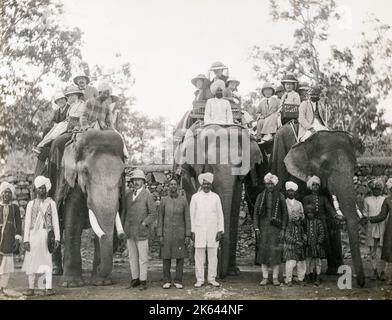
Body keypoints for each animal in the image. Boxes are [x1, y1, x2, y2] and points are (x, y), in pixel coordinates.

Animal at [47, 129, 125, 286]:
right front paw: (72, 284)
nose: (121, 237)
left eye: (122, 173)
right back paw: (56, 271)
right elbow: (73, 221)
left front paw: (101, 283)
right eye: (85, 172)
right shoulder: (71, 183)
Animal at [175, 122, 264, 278]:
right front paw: (207, 268)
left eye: (240, 163)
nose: (220, 276)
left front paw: (234, 272)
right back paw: (194, 263)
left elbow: (234, 206)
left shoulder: (239, 178)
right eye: (209, 164)